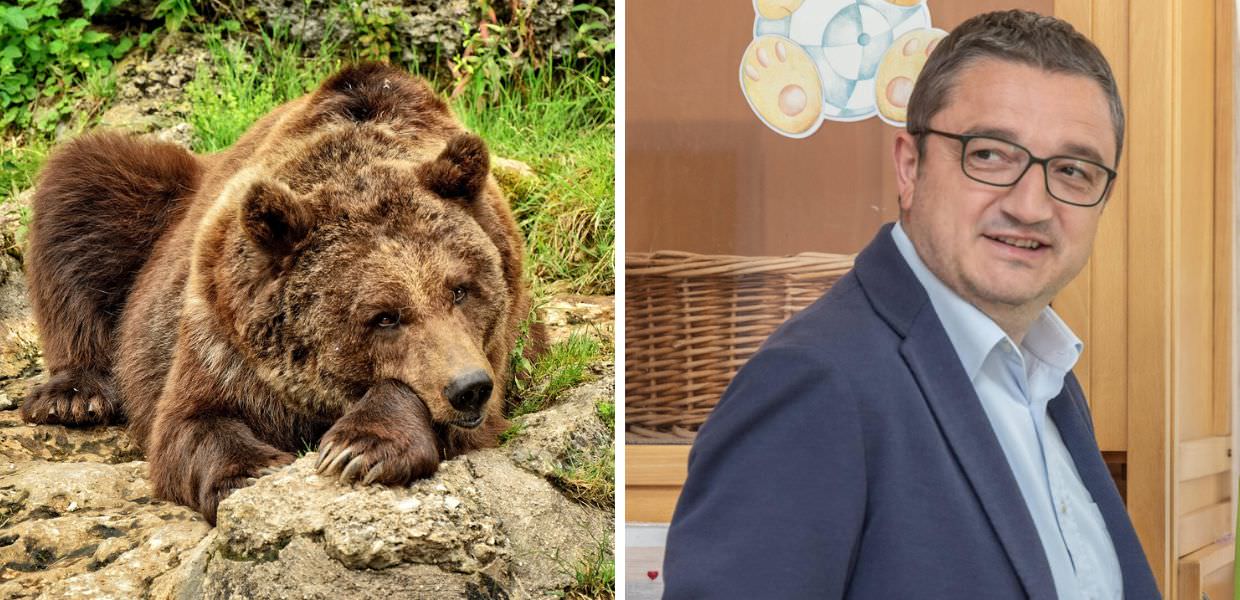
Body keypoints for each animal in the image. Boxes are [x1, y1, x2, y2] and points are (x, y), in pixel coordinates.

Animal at [19, 62, 533, 524]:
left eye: (461, 290)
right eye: (384, 316)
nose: (468, 388)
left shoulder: (497, 351)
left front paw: (358, 448)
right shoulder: (222, 337)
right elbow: (189, 422)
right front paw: (251, 471)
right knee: (84, 183)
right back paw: (74, 395)